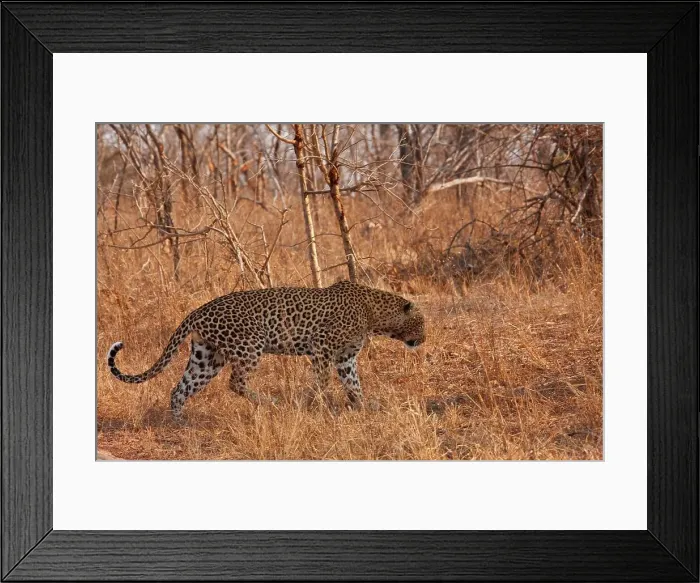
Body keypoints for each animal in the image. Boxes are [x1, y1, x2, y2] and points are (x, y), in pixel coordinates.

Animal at [107, 280, 425, 420]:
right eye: (421, 322)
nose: (423, 339)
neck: (374, 314)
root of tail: (197, 310)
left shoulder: (346, 358)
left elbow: (354, 384)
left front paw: (362, 407)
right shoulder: (322, 347)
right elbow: (321, 381)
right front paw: (309, 405)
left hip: (207, 357)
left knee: (180, 388)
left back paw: (179, 424)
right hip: (250, 346)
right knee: (236, 382)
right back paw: (270, 403)